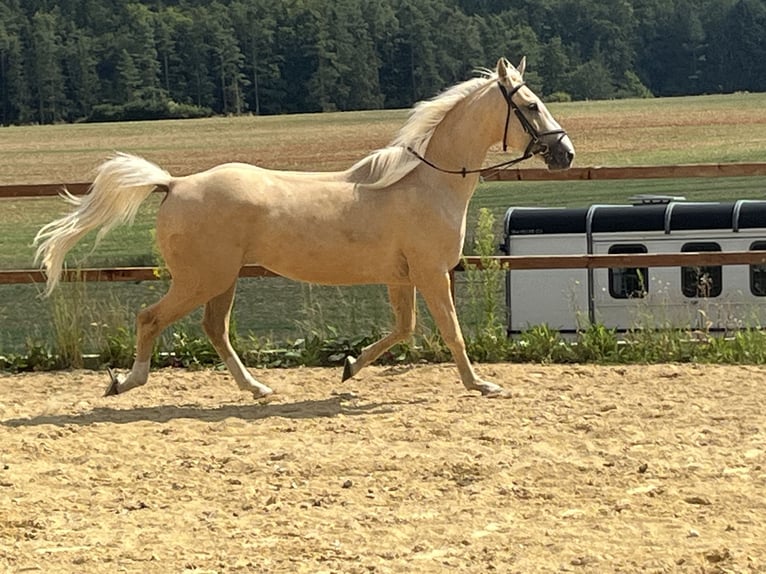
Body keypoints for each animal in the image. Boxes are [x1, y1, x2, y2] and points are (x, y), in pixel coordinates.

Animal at [34, 57, 574, 399]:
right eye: (530, 106)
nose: (565, 153)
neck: (427, 182)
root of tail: (175, 184)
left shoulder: (403, 278)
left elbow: (404, 329)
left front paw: (349, 368)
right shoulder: (432, 274)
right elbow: (451, 332)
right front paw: (482, 384)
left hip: (221, 280)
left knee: (214, 329)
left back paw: (256, 388)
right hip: (200, 279)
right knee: (151, 319)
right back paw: (126, 382)